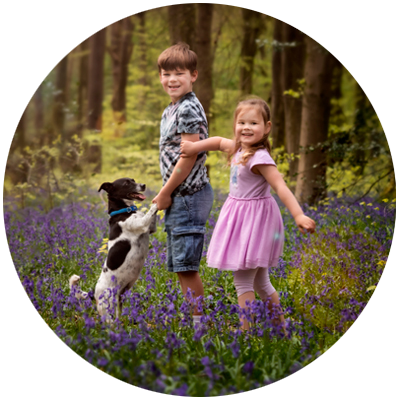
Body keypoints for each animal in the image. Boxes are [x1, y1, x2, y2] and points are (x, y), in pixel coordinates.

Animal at [69, 178, 158, 322]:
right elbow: (151, 211)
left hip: (119, 302)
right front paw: (155, 203)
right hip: (107, 309)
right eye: (126, 183)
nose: (143, 185)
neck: (124, 211)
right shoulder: (142, 224)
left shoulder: (150, 228)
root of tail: (94, 293)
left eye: (133, 180)